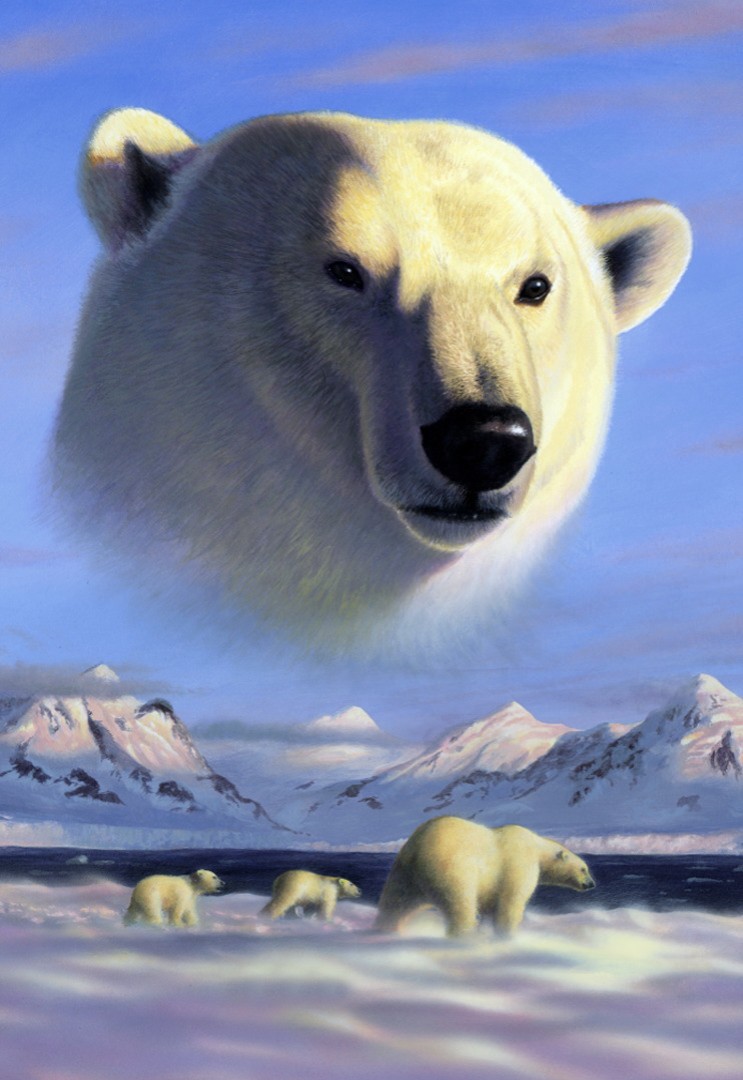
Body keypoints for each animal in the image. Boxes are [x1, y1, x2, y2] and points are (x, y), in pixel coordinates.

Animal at [375, 816, 594, 937]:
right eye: (584, 868)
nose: (591, 884)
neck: (537, 847)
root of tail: (416, 851)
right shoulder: (519, 865)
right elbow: (511, 902)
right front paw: (508, 934)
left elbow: (491, 905)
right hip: (451, 869)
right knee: (460, 903)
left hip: (403, 875)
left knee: (394, 904)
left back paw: (384, 930)